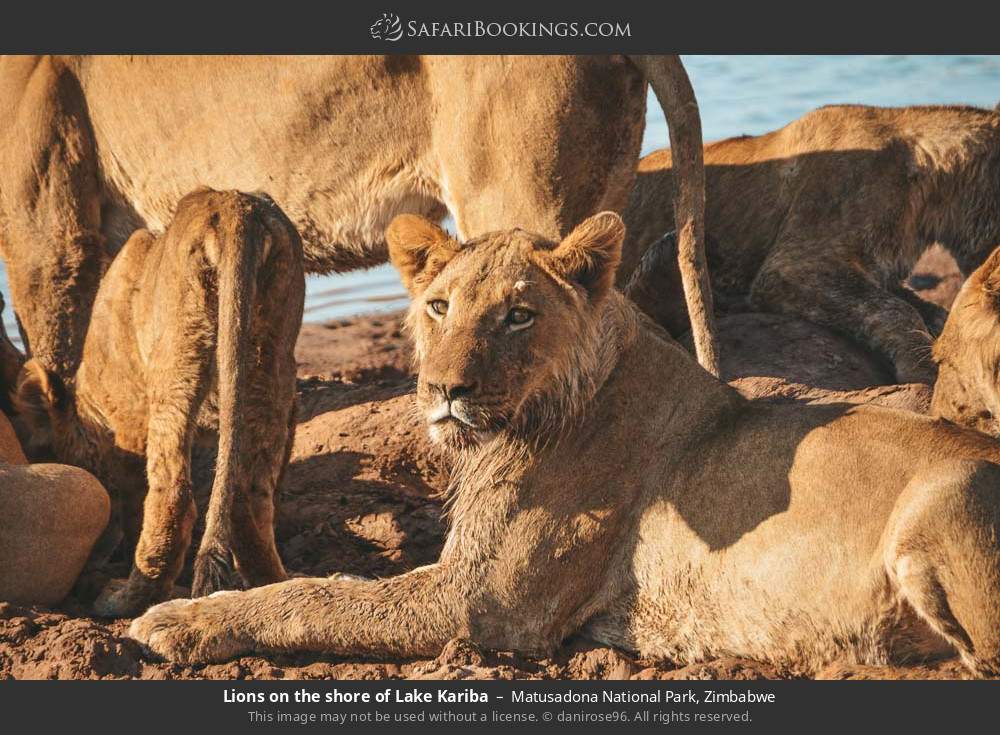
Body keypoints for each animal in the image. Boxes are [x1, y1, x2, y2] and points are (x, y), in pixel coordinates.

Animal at [14, 188, 304, 617]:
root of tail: (234, 208)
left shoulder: (130, 422)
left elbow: (136, 499)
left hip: (176, 362)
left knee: (173, 495)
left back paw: (124, 598)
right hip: (272, 356)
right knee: (247, 494)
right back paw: (272, 583)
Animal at [130, 211, 1000, 678]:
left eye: (517, 315)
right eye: (439, 305)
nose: (444, 389)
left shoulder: (479, 602)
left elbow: (320, 596)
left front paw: (178, 618)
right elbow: (327, 588)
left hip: (942, 503)